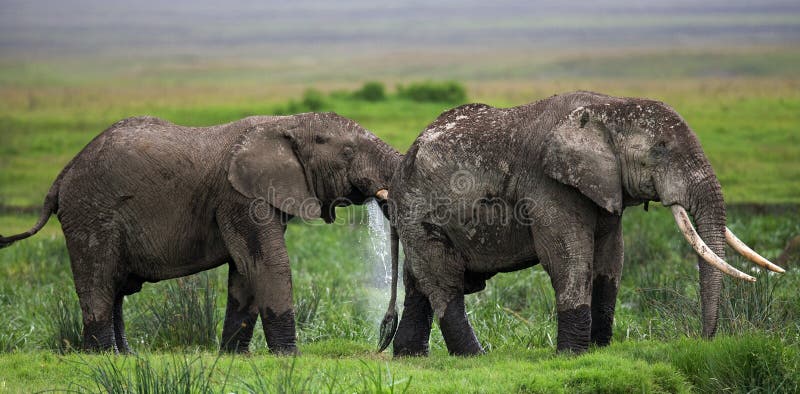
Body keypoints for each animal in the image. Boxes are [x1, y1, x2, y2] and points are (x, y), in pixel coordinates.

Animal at [0, 111, 400, 354]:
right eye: (347, 152)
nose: (382, 339)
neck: (284, 123)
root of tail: (63, 174)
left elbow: (246, 271)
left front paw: (235, 356)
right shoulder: (237, 196)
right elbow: (268, 264)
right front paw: (289, 357)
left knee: (114, 288)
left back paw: (125, 356)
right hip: (91, 212)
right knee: (98, 281)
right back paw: (102, 356)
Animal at [378, 91, 784, 356]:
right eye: (660, 150)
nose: (705, 340)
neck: (609, 107)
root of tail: (400, 168)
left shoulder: (604, 187)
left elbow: (611, 257)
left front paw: (599, 351)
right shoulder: (547, 185)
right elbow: (567, 257)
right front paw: (572, 355)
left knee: (419, 283)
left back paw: (410, 357)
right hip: (420, 210)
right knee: (444, 282)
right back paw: (476, 358)